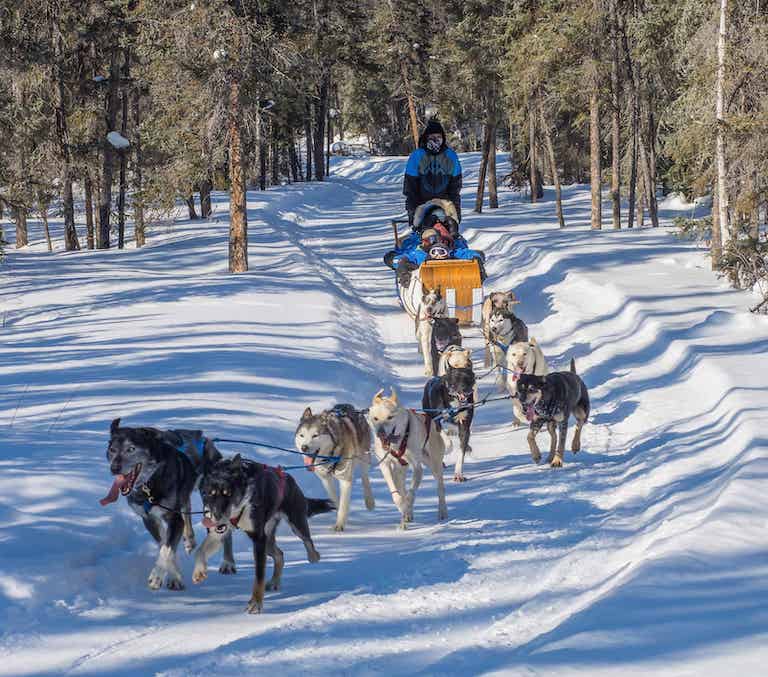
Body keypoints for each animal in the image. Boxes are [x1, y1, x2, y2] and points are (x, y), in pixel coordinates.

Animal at [368, 390, 448, 528]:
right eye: (376, 418)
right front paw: (402, 508)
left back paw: (442, 512)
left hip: (434, 465)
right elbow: (396, 493)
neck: (398, 442)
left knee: (440, 487)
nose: (381, 433)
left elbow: (410, 495)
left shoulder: (417, 467)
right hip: (400, 471)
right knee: (401, 486)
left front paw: (405, 509)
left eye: (390, 417)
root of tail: (433, 422)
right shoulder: (385, 465)